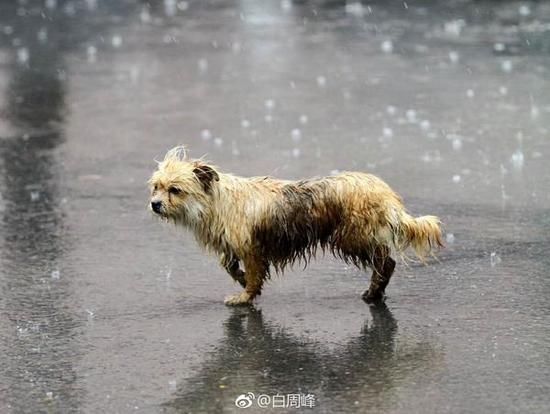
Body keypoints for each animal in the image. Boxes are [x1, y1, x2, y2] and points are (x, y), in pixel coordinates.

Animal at [148, 147, 444, 306]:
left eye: (174, 190)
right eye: (156, 187)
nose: (154, 204)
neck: (216, 201)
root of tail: (385, 193)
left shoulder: (252, 248)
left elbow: (253, 275)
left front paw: (245, 295)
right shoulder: (233, 245)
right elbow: (229, 265)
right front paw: (241, 279)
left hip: (351, 236)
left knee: (386, 262)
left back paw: (374, 292)